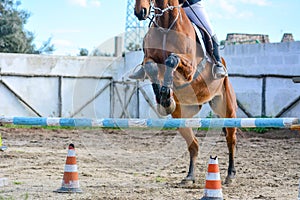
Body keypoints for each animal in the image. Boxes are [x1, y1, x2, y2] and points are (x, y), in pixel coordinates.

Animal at [135, 0, 238, 184]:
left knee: (230, 139)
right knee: (194, 144)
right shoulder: (150, 58)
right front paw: (164, 99)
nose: (140, 12)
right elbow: (151, 67)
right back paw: (190, 176)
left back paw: (230, 174)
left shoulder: (189, 68)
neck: (166, 26)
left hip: (227, 108)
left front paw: (166, 93)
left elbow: (172, 60)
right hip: (182, 116)